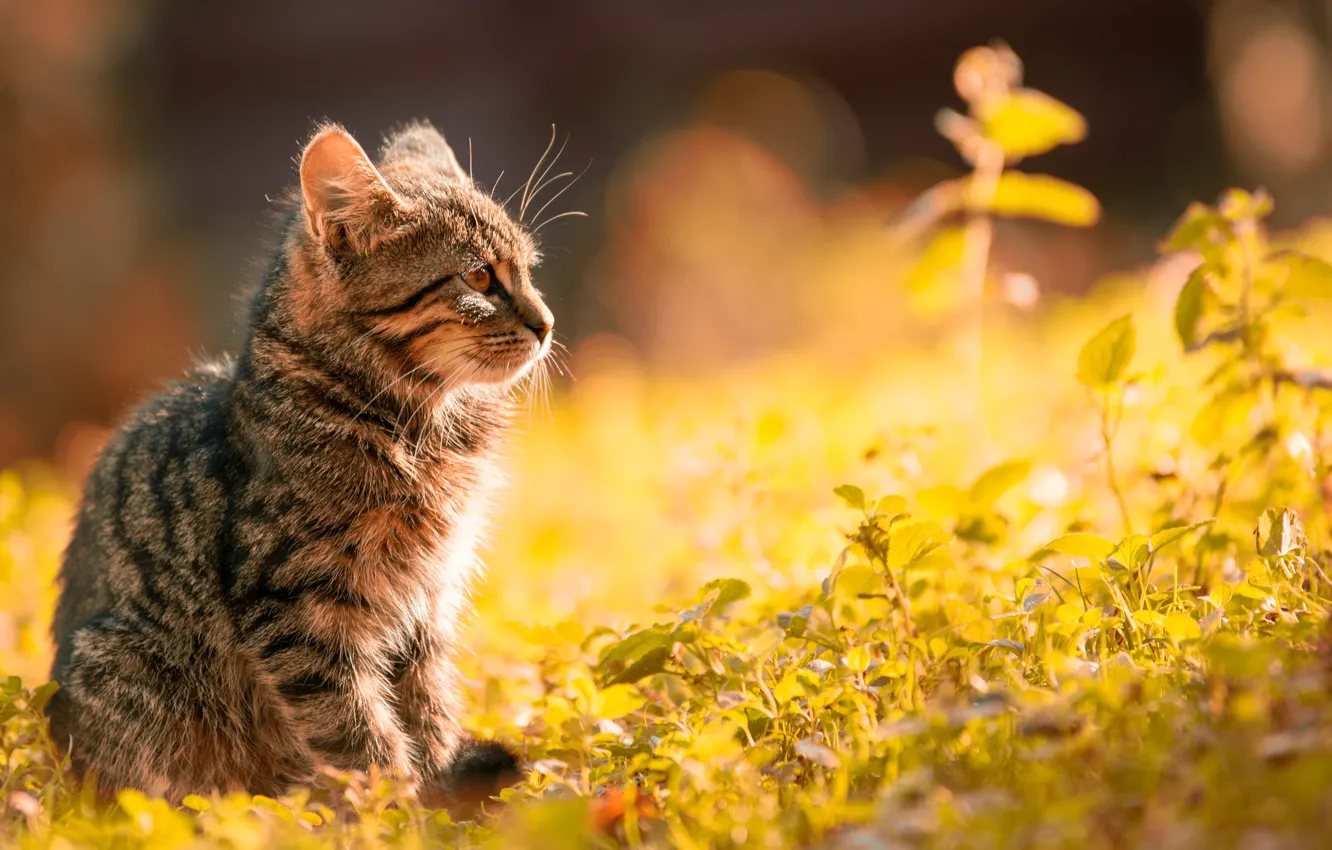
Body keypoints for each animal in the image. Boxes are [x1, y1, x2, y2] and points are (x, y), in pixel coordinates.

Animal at [46, 119, 546, 804]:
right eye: (477, 279)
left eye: (528, 270)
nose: (548, 323)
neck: (422, 427)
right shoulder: (297, 609)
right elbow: (358, 731)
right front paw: (394, 810)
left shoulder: (427, 599)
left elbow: (428, 706)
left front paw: (440, 787)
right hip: (121, 668)